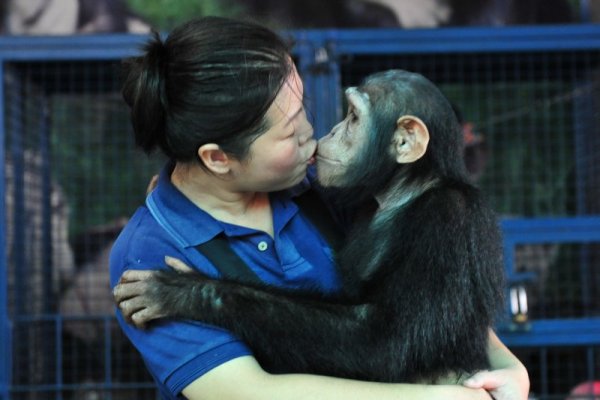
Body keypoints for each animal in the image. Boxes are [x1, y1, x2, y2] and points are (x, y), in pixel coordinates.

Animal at [113, 69, 506, 384]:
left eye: (353, 118)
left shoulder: (445, 221)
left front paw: (188, 291)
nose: (331, 130)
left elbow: (387, 340)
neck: (405, 190)